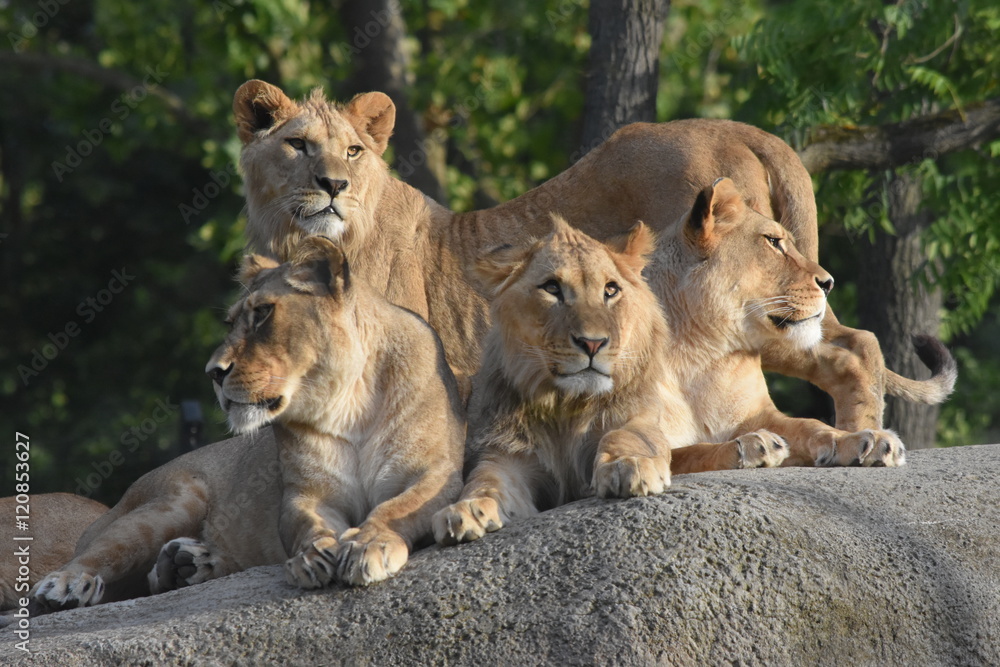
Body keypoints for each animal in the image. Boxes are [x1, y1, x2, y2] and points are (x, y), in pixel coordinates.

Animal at [31, 237, 464, 611]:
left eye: (264, 313)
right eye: (231, 322)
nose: (213, 372)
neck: (349, 404)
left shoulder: (436, 475)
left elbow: (397, 507)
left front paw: (368, 546)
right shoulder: (306, 494)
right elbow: (307, 525)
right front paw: (312, 556)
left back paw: (186, 564)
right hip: (173, 501)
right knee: (102, 557)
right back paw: (67, 584)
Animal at [232, 80, 954, 432]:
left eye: (353, 150)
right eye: (298, 144)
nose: (333, 184)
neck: (299, 240)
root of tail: (737, 126)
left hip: (760, 299)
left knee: (852, 343)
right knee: (855, 342)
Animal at [434, 184, 955, 544]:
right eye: (773, 242)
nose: (827, 282)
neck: (700, 349)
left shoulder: (756, 410)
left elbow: (809, 426)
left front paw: (861, 441)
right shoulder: (650, 432)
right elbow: (694, 452)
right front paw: (752, 448)